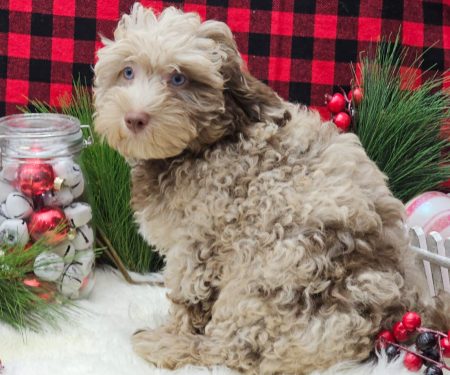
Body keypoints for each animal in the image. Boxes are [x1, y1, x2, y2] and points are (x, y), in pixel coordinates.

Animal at [93, 3, 448, 375]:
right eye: (127, 72)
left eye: (178, 78)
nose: (134, 118)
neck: (204, 144)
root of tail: (381, 325)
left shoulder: (196, 242)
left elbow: (187, 297)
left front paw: (174, 332)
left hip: (261, 285)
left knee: (232, 350)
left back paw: (168, 346)